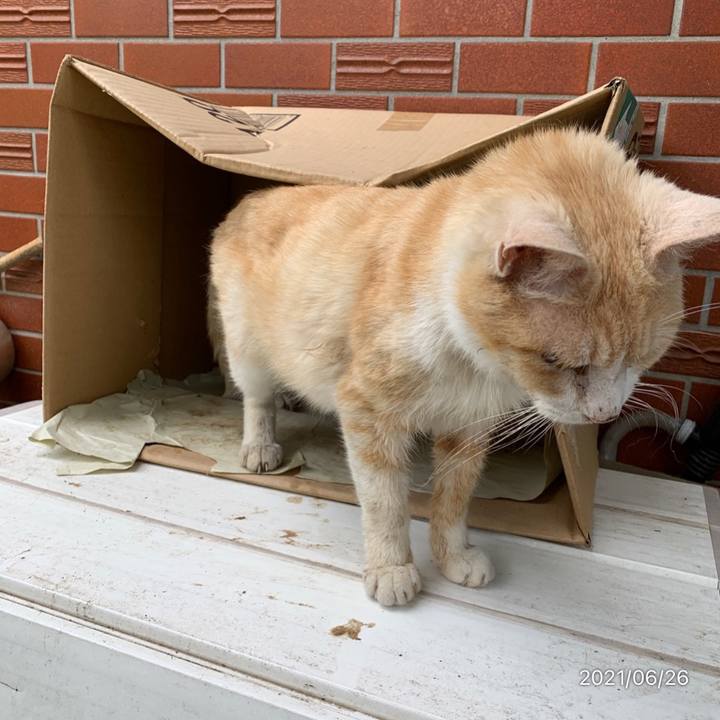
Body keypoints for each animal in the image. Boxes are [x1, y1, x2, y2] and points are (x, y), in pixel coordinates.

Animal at [209, 127, 720, 606]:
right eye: (555, 361)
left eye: (641, 359)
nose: (603, 414)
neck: (470, 359)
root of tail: (253, 196)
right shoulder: (367, 414)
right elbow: (384, 500)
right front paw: (392, 568)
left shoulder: (469, 428)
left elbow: (455, 498)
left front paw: (453, 557)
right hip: (247, 350)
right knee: (257, 397)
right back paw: (260, 445)